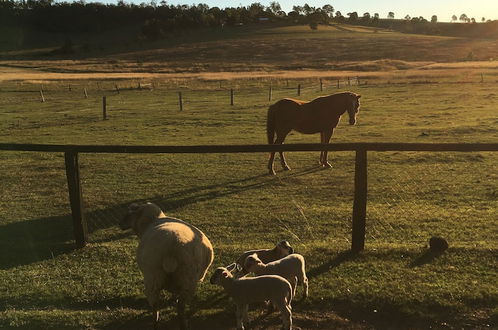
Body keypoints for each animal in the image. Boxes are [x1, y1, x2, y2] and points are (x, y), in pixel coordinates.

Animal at [121, 202, 216, 330]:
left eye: (128, 214)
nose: (120, 224)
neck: (152, 220)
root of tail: (172, 250)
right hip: (188, 281)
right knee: (180, 307)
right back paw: (183, 324)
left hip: (153, 278)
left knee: (156, 307)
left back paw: (156, 324)